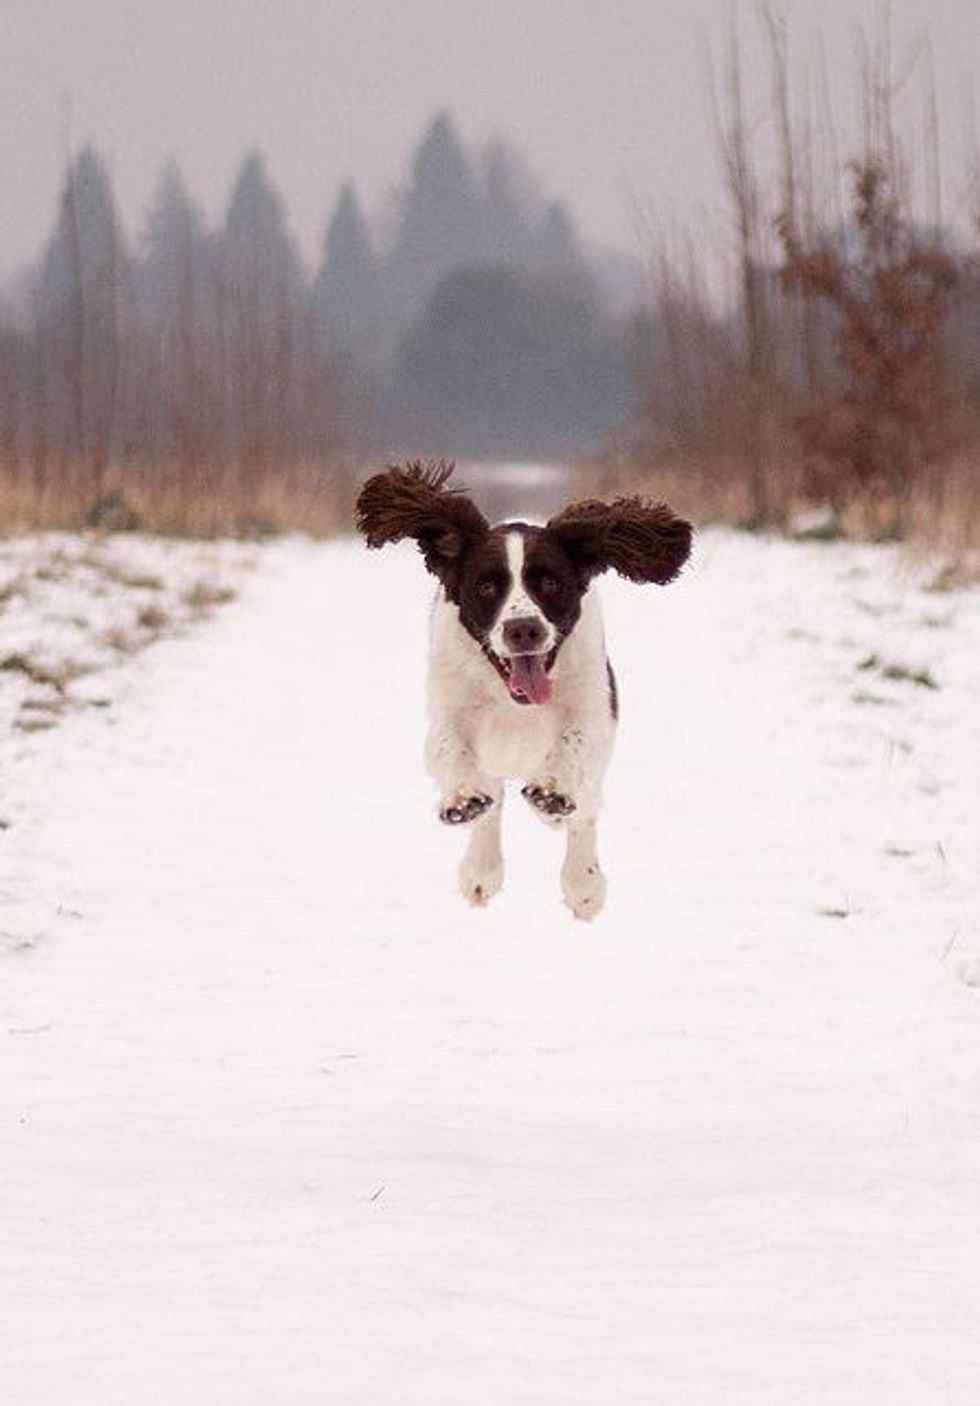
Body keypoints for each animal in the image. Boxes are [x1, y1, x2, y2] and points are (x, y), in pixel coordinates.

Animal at [355, 461, 692, 919]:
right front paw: (464, 799)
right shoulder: (448, 713)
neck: (512, 700)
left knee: (585, 811)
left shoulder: (593, 711)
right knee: (495, 797)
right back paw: (481, 868)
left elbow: (572, 743)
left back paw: (582, 882)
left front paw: (551, 792)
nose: (523, 629)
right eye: (486, 586)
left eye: (549, 583)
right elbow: (454, 753)